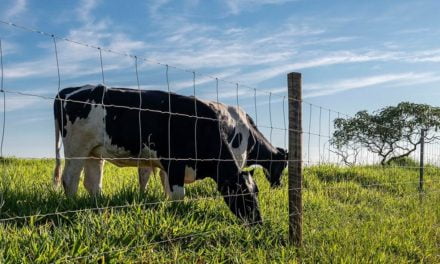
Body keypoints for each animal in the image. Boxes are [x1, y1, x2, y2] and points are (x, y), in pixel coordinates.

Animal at [54, 84, 262, 223]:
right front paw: (178, 213)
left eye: (257, 192)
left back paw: (97, 206)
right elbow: (178, 195)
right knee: (70, 179)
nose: (258, 222)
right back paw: (72, 207)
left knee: (92, 182)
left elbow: (168, 191)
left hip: (93, 152)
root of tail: (69, 90)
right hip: (77, 148)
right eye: (243, 193)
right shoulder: (175, 164)